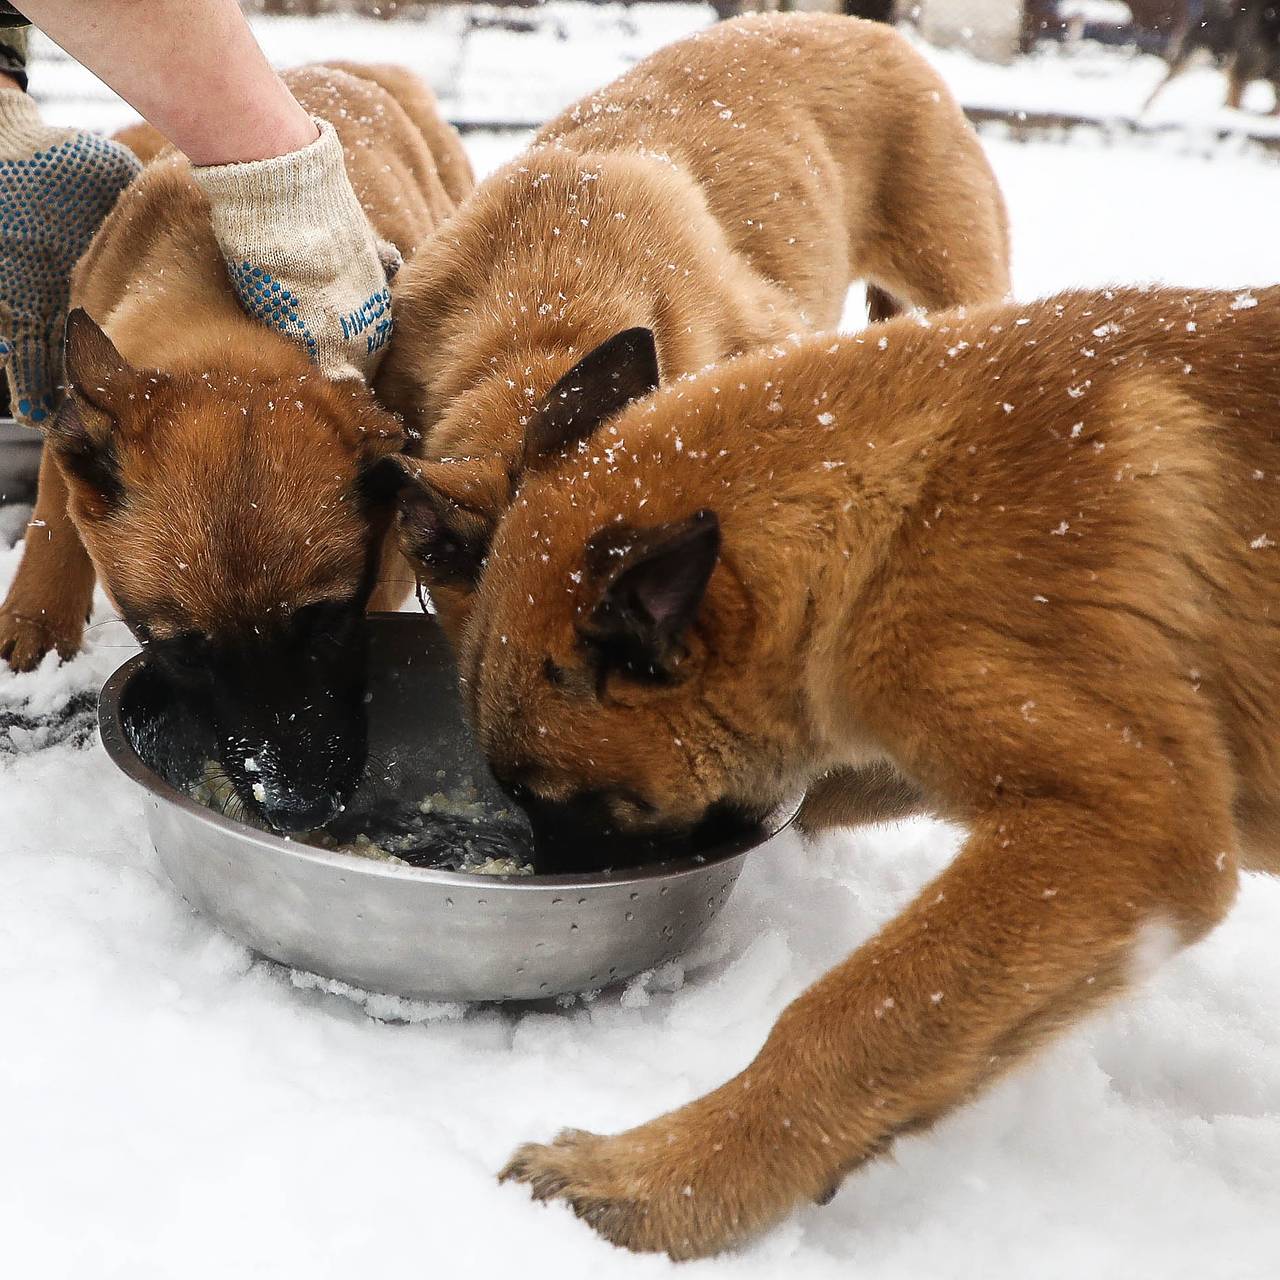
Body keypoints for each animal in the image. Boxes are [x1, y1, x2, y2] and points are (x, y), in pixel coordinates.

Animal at [0, 62, 476, 829]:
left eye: (328, 622)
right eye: (183, 653)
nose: (299, 810)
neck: (222, 333)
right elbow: (55, 513)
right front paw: (36, 620)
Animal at [412, 288, 1280, 1249]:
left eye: (559, 802)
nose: (548, 892)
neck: (900, 505)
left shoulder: (1120, 828)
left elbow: (851, 1018)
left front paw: (665, 1181)